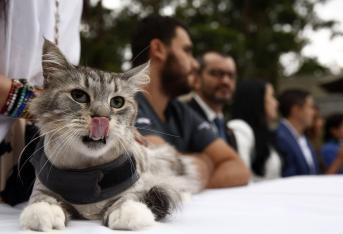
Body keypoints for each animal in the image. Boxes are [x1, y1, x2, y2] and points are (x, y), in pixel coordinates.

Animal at [19, 39, 202, 230]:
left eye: (117, 102)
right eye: (79, 96)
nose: (102, 118)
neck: (88, 173)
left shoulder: (136, 186)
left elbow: (129, 199)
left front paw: (128, 212)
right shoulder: (42, 187)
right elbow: (42, 199)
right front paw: (43, 211)